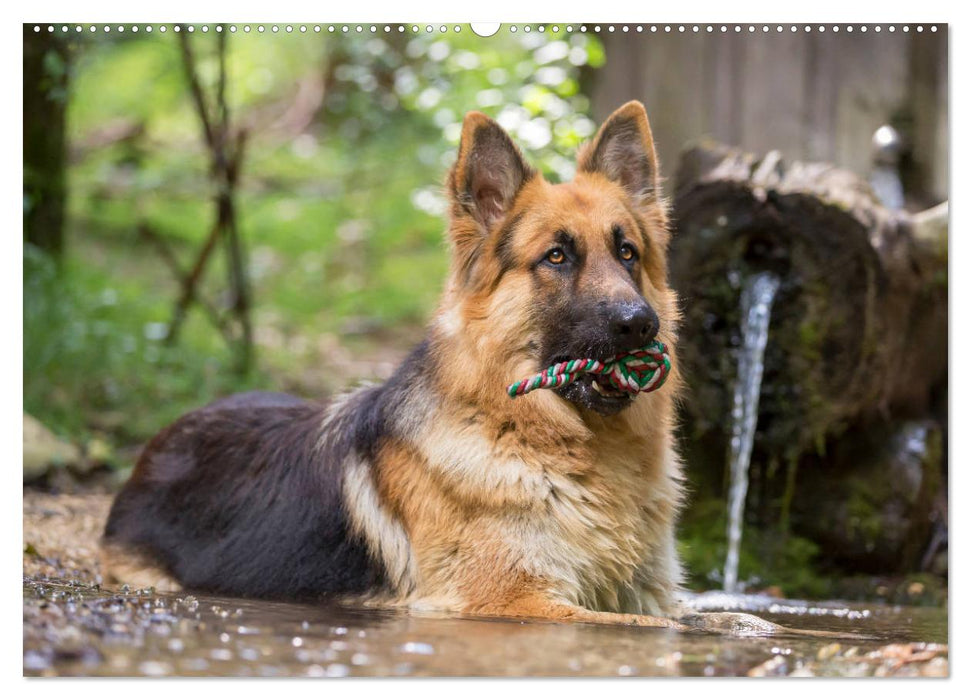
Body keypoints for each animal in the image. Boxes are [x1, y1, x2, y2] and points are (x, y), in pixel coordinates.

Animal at [102, 101, 804, 636]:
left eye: (627, 252)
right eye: (556, 257)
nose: (641, 324)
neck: (544, 439)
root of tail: (162, 439)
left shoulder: (642, 589)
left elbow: (694, 614)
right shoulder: (513, 599)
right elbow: (666, 624)